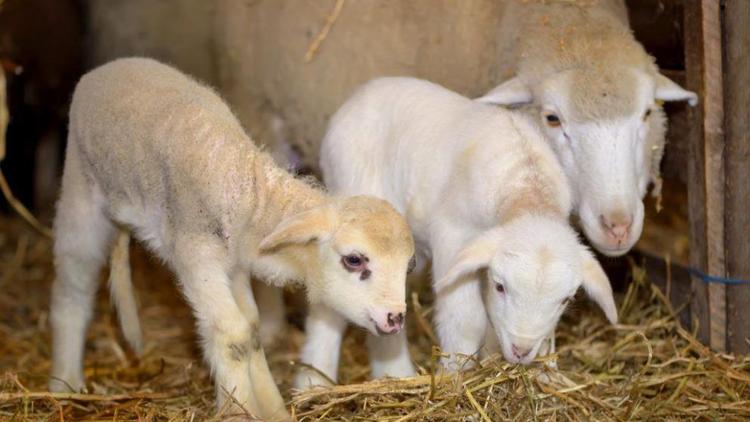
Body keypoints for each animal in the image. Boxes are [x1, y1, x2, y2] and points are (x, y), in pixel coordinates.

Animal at [50, 57, 418, 420]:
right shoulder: (196, 256)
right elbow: (231, 334)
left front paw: (272, 409)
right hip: (81, 192)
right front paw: (238, 408)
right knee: (72, 288)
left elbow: (251, 329)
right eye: (354, 260)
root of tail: (108, 66)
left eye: (408, 266)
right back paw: (64, 380)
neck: (244, 186)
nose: (396, 319)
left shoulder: (235, 262)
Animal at [296, 76, 620, 390]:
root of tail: (361, 94)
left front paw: (542, 371)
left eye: (565, 300)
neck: (527, 186)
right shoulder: (453, 233)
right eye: (500, 286)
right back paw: (316, 381)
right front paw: (455, 371)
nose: (520, 350)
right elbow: (466, 318)